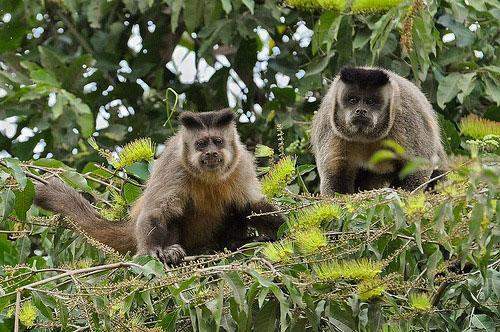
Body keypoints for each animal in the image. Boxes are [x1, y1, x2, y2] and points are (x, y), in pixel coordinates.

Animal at [34, 109, 286, 264]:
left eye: (218, 142)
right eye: (201, 144)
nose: (211, 153)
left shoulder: (241, 163)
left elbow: (252, 205)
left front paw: (285, 229)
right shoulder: (174, 163)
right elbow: (157, 211)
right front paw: (153, 251)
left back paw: (232, 243)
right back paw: (177, 252)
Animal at [310, 67, 448, 195]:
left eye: (370, 101)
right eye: (353, 100)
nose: (361, 110)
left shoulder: (406, 114)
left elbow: (417, 166)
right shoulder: (328, 123)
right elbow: (335, 172)